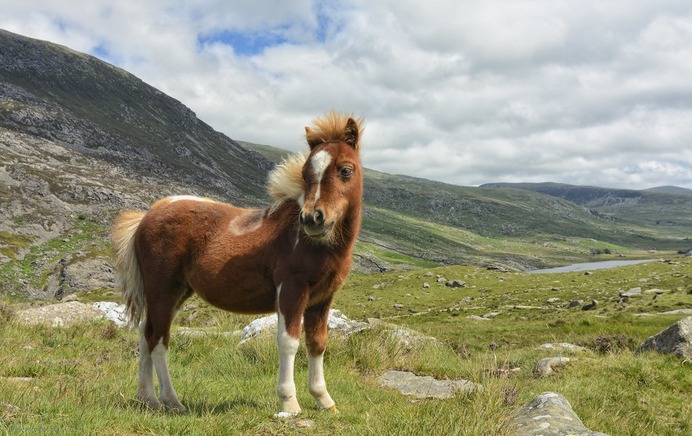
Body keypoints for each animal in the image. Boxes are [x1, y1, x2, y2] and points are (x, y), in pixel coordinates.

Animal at [111, 112, 363, 415]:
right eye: (305, 174)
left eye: (346, 170)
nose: (312, 219)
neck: (315, 244)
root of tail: (148, 215)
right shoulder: (291, 289)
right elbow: (289, 342)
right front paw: (289, 402)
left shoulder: (322, 298)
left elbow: (317, 343)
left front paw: (324, 399)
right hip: (163, 290)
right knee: (158, 340)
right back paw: (172, 401)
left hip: (177, 293)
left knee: (145, 333)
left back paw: (148, 398)